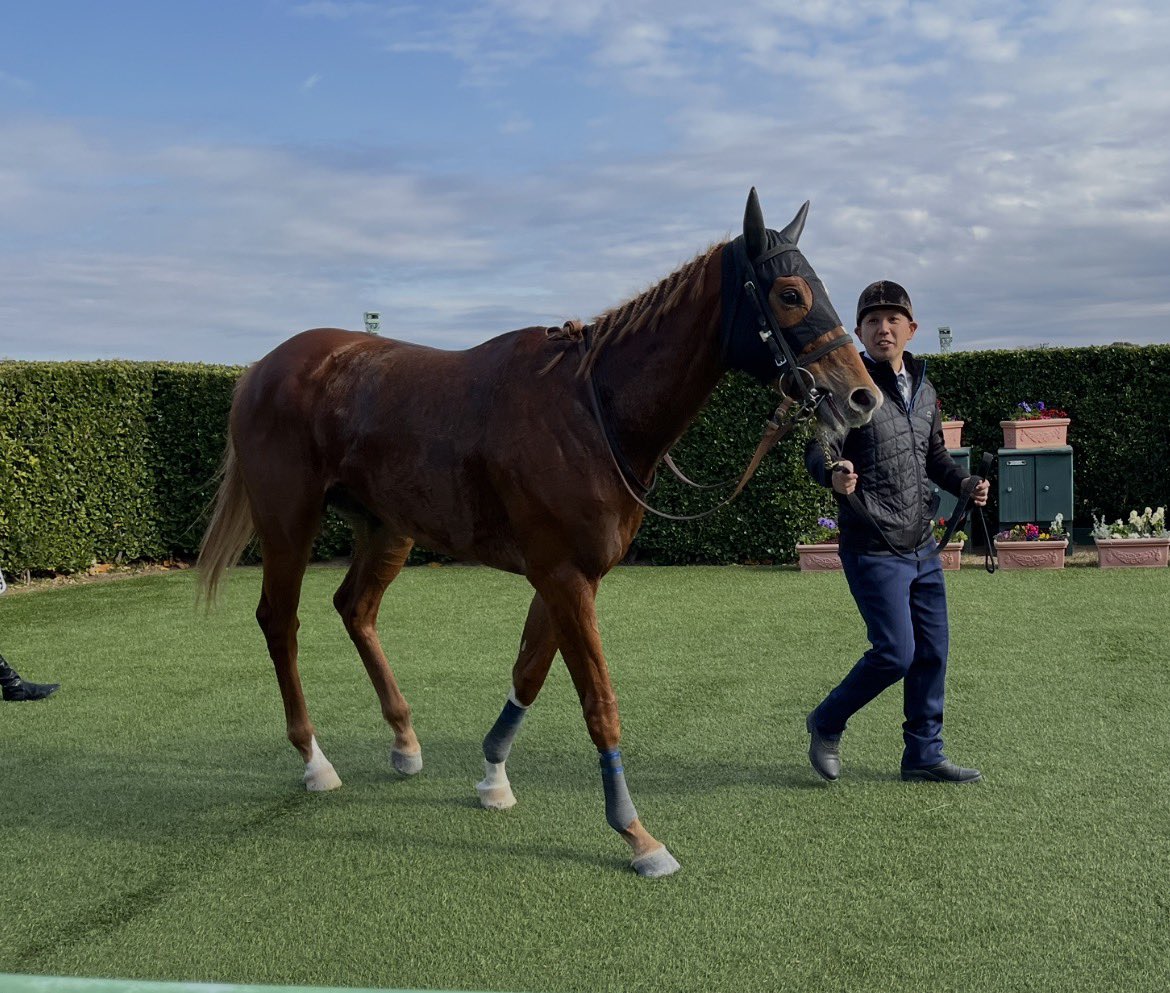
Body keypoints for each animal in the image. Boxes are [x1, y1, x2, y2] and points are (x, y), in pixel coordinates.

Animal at [197, 189, 881, 877]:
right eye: (791, 293)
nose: (862, 396)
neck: (591, 411)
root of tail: (260, 369)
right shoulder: (562, 574)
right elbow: (599, 704)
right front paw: (636, 834)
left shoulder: (574, 575)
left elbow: (529, 670)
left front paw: (493, 775)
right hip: (288, 521)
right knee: (279, 621)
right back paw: (314, 759)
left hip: (387, 528)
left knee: (355, 607)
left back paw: (404, 738)